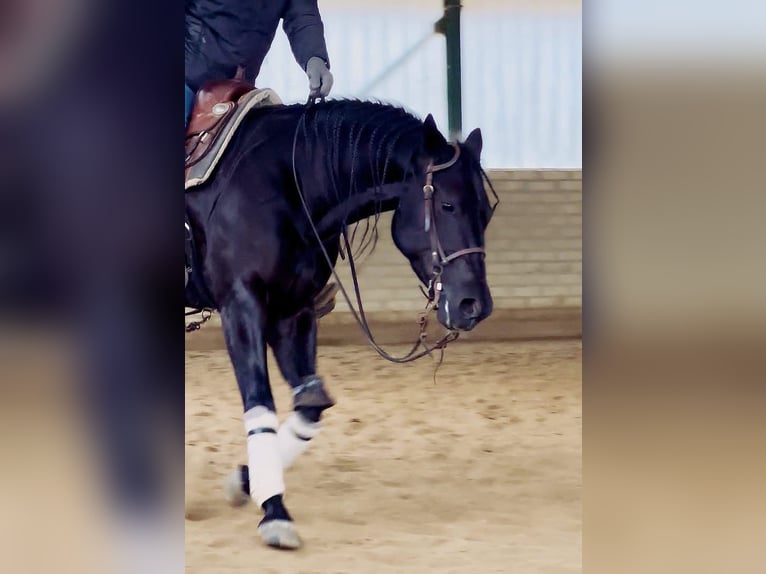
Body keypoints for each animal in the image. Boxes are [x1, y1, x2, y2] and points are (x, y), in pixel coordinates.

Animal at [184, 98, 495, 549]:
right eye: (447, 205)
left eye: (486, 212)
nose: (475, 305)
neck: (289, 184)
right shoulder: (241, 306)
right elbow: (260, 404)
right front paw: (275, 512)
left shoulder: (293, 312)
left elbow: (311, 406)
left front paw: (248, 481)